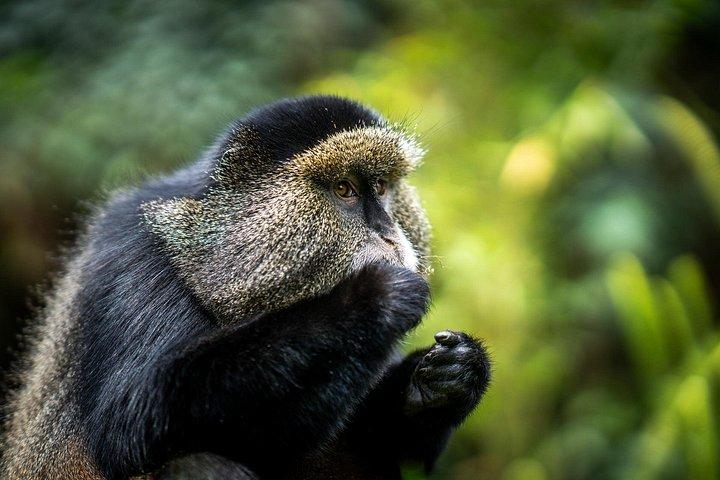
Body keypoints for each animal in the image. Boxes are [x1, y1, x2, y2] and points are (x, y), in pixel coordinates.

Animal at [0, 96, 491, 480]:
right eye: (344, 189)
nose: (388, 233)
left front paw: (442, 378)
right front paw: (371, 298)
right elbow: (130, 421)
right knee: (196, 463)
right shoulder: (136, 254)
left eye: (384, 188)